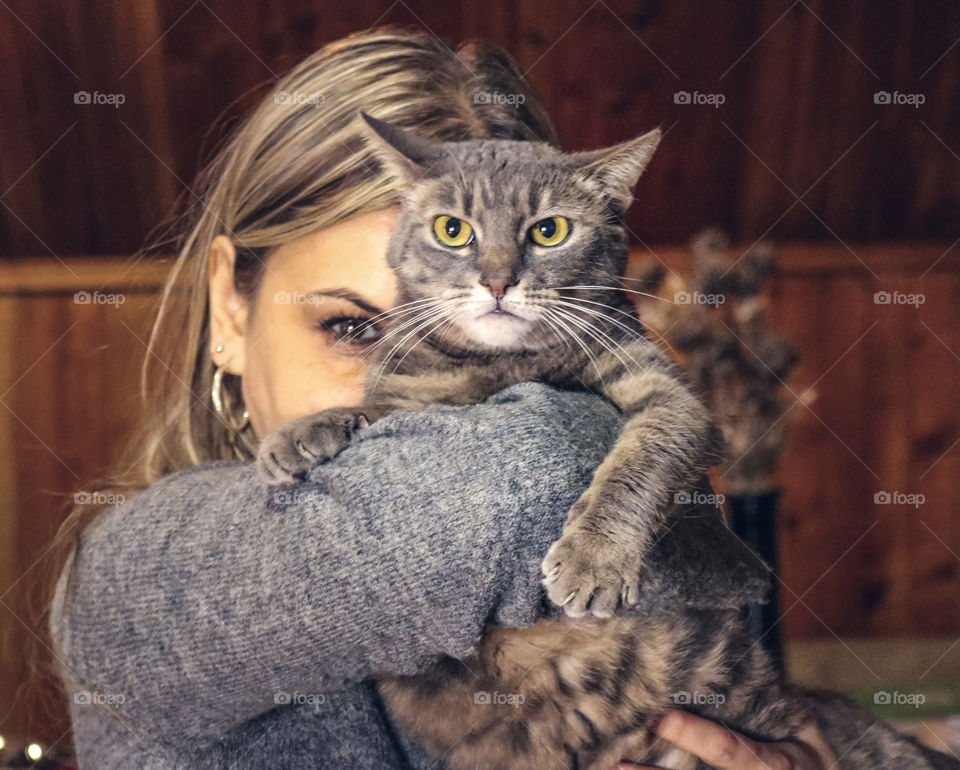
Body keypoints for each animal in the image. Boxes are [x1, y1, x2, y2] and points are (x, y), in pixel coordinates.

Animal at [256, 115, 960, 768]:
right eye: (452, 230)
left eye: (549, 231)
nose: (497, 281)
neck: (502, 366)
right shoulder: (412, 398)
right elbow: (372, 410)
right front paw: (300, 433)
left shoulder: (668, 396)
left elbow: (639, 462)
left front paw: (594, 558)